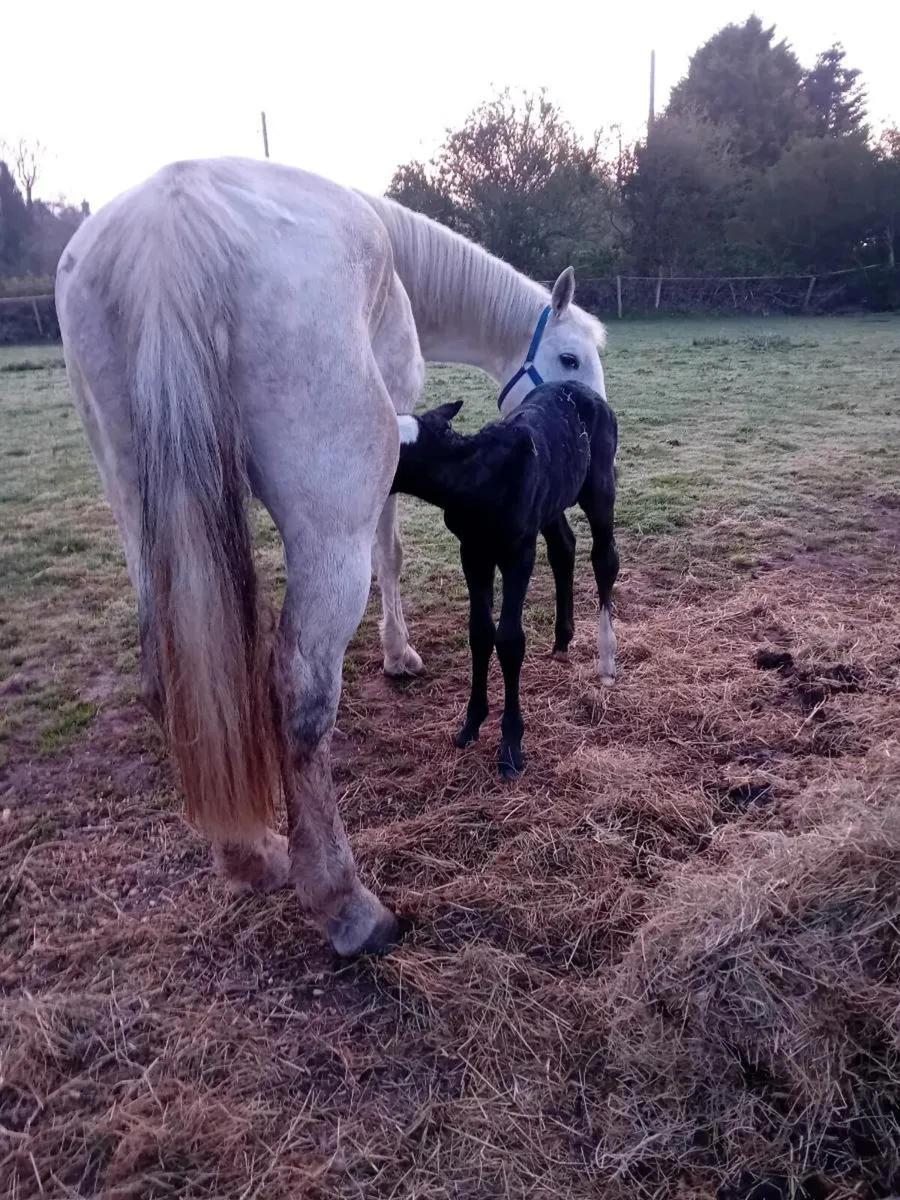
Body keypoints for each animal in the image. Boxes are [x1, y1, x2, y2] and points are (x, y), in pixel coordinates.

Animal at [393, 382, 618, 778]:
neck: (478, 482)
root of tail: (582, 390)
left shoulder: (518, 553)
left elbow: (510, 640)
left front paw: (511, 746)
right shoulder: (473, 552)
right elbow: (480, 632)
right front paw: (471, 723)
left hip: (599, 487)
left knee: (604, 558)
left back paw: (606, 663)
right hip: (552, 501)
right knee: (563, 546)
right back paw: (562, 640)